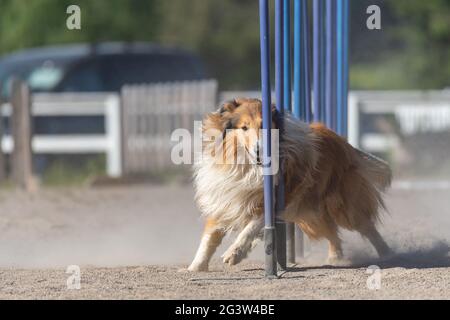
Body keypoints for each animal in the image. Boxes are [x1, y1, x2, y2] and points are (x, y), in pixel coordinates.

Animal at [186, 98, 390, 272]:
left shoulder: (272, 200)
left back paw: (387, 254)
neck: (247, 167)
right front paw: (195, 268)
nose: (260, 150)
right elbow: (209, 238)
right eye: (244, 127)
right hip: (310, 214)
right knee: (332, 232)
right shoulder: (223, 199)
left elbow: (249, 228)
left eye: (265, 125)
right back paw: (335, 257)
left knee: (366, 226)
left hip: (341, 206)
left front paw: (234, 254)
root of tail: (344, 142)